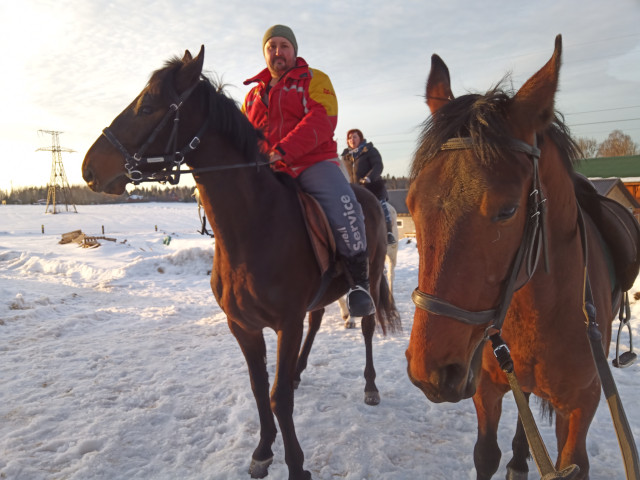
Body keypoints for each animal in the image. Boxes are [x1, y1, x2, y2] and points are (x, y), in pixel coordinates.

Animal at [82, 46, 398, 480]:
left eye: (147, 106)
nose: (89, 169)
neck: (255, 225)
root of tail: (366, 193)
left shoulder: (285, 324)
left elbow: (279, 398)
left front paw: (296, 465)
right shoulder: (243, 326)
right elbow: (260, 389)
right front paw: (263, 451)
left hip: (371, 275)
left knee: (366, 326)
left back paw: (370, 386)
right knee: (317, 320)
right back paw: (299, 371)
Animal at [410, 36, 624, 480]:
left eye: (507, 211)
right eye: (411, 203)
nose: (431, 374)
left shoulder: (581, 407)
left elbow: (571, 463)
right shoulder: (488, 390)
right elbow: (485, 455)